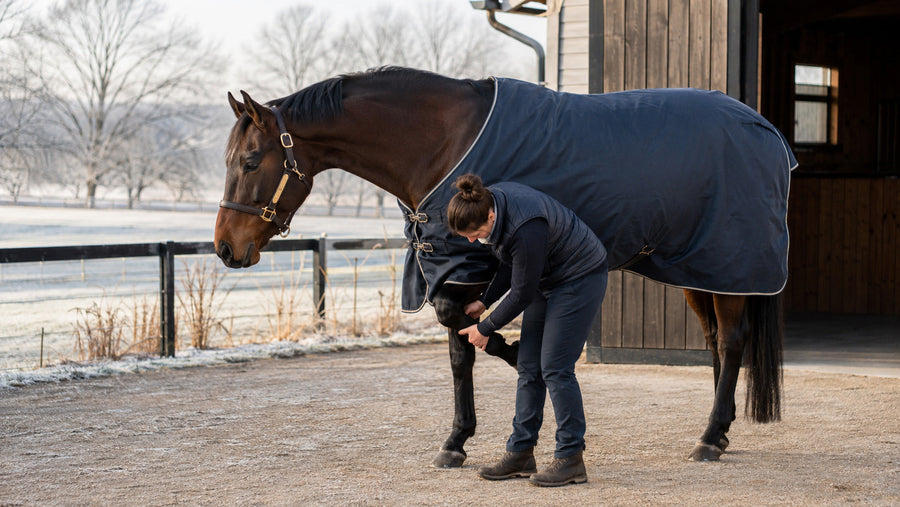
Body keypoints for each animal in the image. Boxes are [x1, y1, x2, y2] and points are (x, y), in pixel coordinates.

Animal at [214, 66, 792, 467]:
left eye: (249, 161)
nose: (224, 247)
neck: (441, 141)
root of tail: (765, 130)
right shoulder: (451, 268)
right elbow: (460, 345)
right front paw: (459, 436)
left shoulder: (469, 264)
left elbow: (469, 334)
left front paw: (506, 380)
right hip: (697, 269)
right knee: (716, 341)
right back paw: (721, 429)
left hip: (730, 264)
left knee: (733, 340)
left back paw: (709, 438)